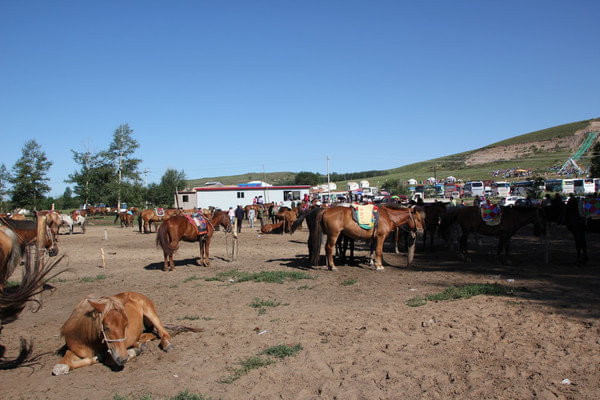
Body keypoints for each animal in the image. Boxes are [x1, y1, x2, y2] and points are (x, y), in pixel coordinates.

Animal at [52, 290, 202, 376]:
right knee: (152, 334)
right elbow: (64, 363)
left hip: (150, 313)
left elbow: (109, 359)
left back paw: (165, 345)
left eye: (126, 324)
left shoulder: (117, 350)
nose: (122, 358)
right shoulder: (73, 349)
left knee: (163, 334)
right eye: (106, 327)